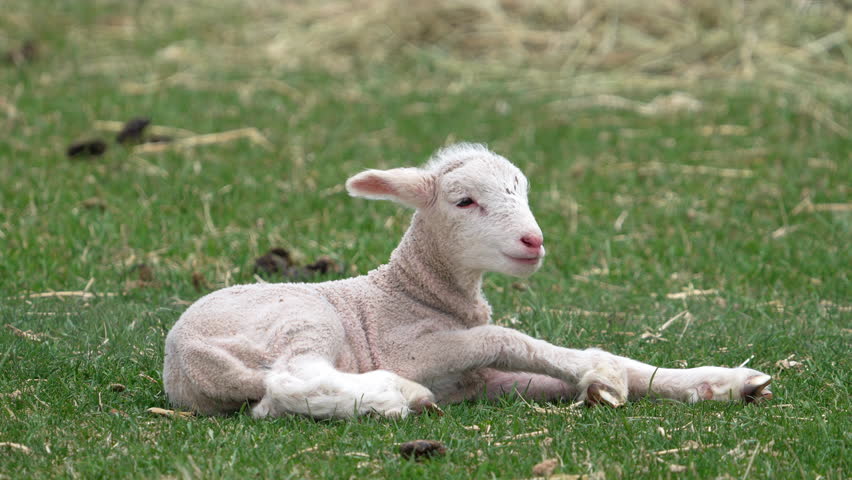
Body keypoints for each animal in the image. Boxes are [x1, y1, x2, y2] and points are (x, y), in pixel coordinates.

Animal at [162, 143, 773, 418]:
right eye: (464, 201)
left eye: (523, 191)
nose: (534, 240)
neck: (412, 290)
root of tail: (187, 358)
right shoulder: (408, 348)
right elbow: (506, 338)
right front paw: (597, 373)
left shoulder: (479, 381)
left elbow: (610, 365)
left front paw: (719, 383)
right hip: (301, 319)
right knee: (288, 383)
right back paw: (397, 396)